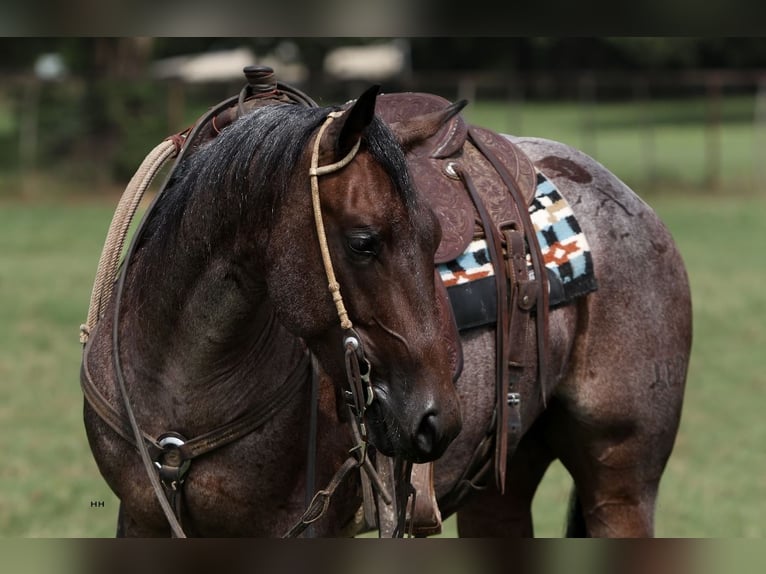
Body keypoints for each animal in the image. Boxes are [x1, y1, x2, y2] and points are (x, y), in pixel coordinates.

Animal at [81, 74, 692, 536]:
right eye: (363, 241)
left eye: (435, 234)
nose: (435, 418)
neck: (183, 388)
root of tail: (633, 203)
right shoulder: (141, 520)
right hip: (505, 478)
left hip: (621, 477)